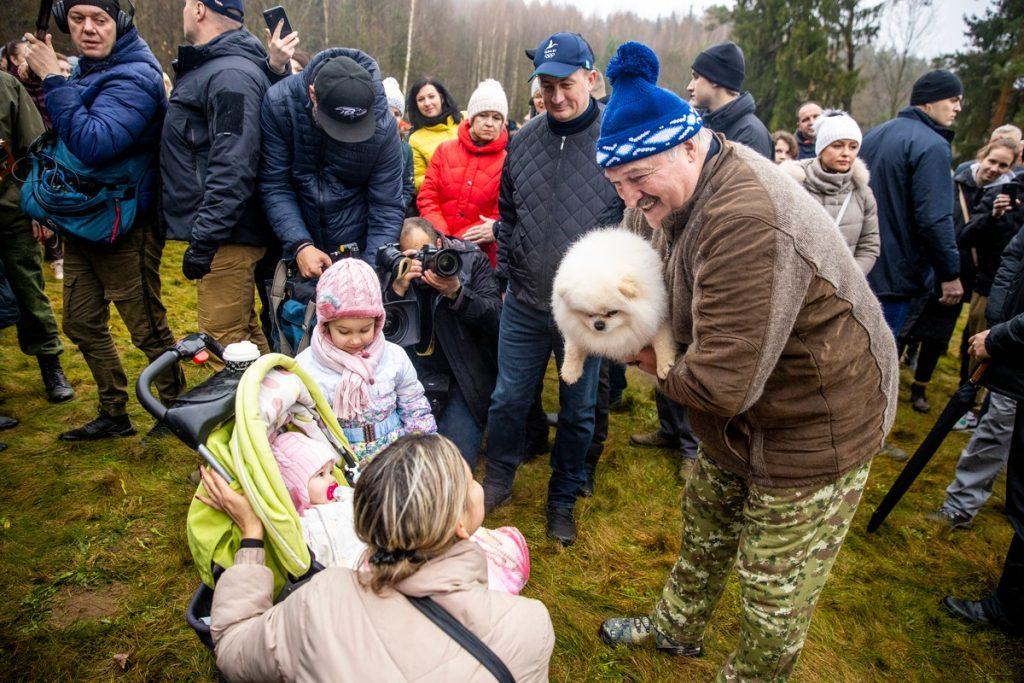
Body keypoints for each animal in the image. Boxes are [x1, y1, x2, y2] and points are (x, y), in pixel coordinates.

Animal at [552, 228, 679, 385]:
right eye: (588, 314)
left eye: (612, 312)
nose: (599, 325)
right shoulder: (575, 329)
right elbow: (573, 348)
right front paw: (569, 372)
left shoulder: (657, 316)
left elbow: (662, 341)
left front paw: (664, 365)